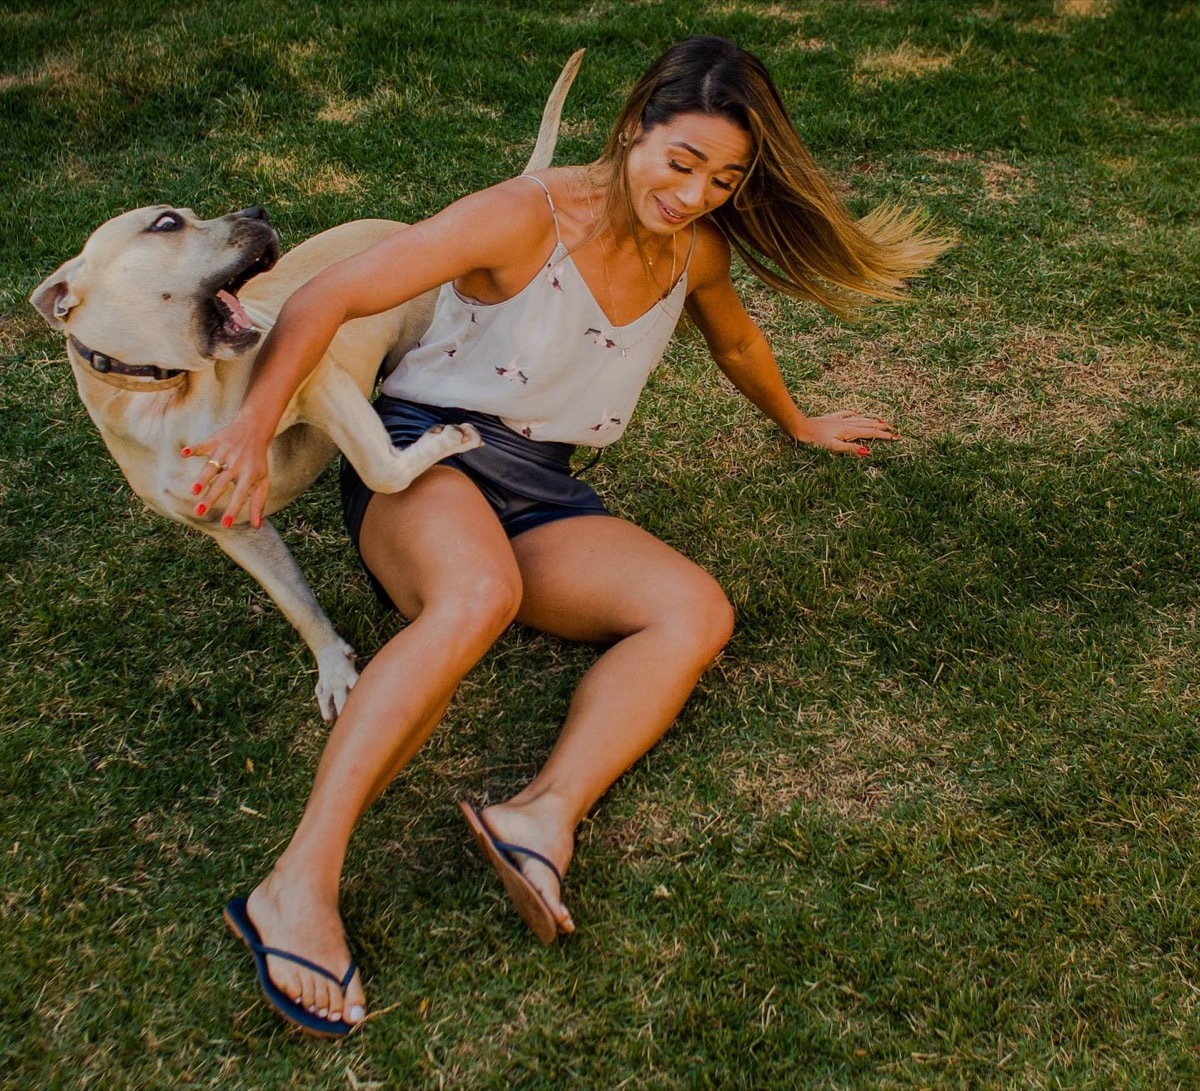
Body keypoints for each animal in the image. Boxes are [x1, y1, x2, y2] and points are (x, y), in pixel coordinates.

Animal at [30, 51, 583, 720]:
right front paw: (334, 666)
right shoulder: (233, 528)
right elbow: (294, 601)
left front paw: (442, 443)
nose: (257, 213)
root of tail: (418, 228)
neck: (170, 398)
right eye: (166, 223)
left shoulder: (318, 384)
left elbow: (382, 469)